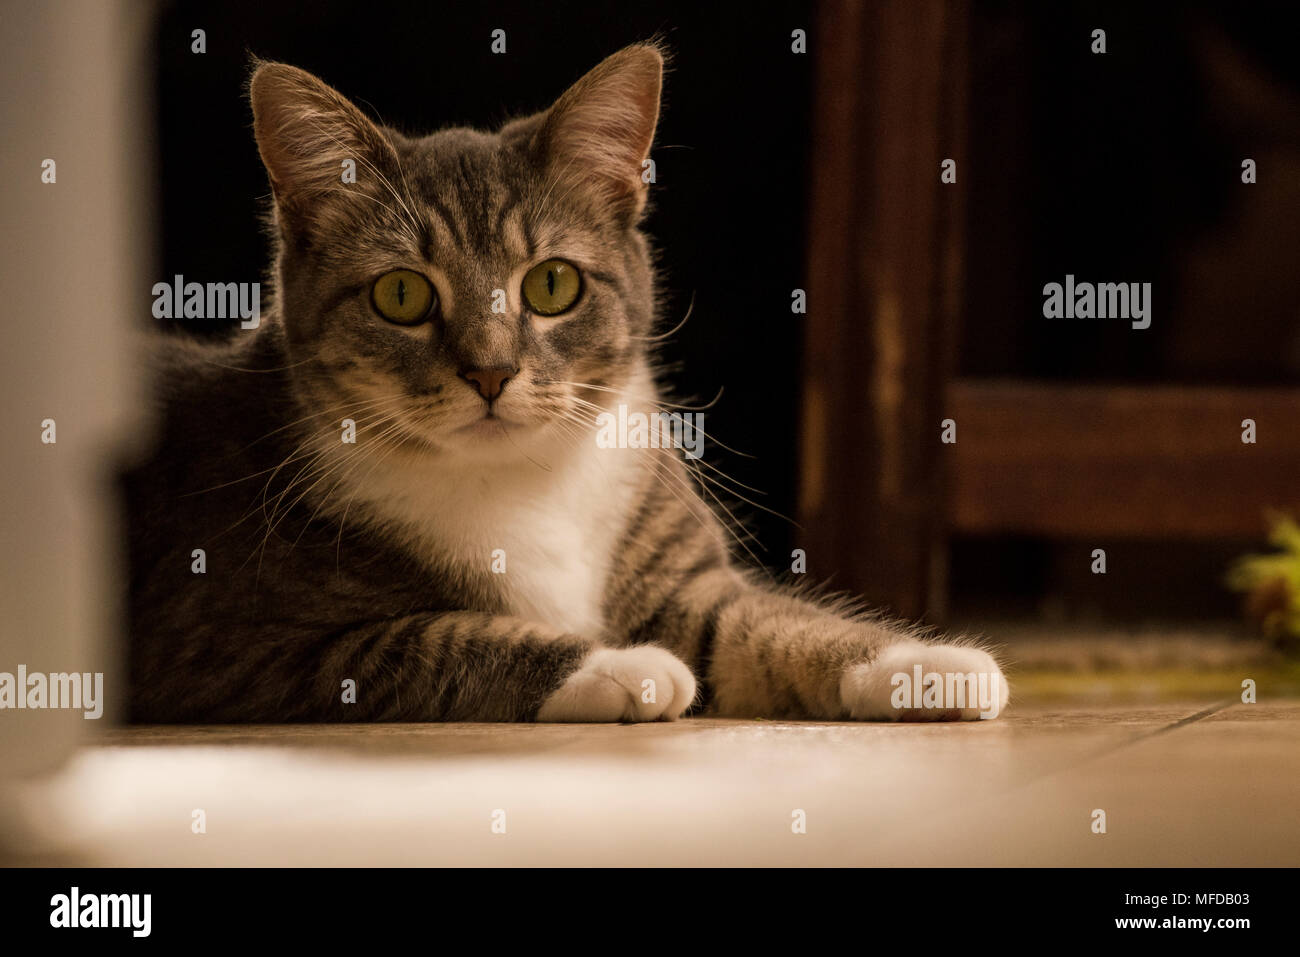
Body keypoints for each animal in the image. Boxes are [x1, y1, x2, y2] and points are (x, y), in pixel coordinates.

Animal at [122, 41, 1008, 722]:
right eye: (401, 295)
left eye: (552, 284)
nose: (490, 370)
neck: (516, 481)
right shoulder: (233, 642)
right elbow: (430, 637)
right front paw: (616, 665)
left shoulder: (687, 584)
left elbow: (773, 622)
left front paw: (924, 665)